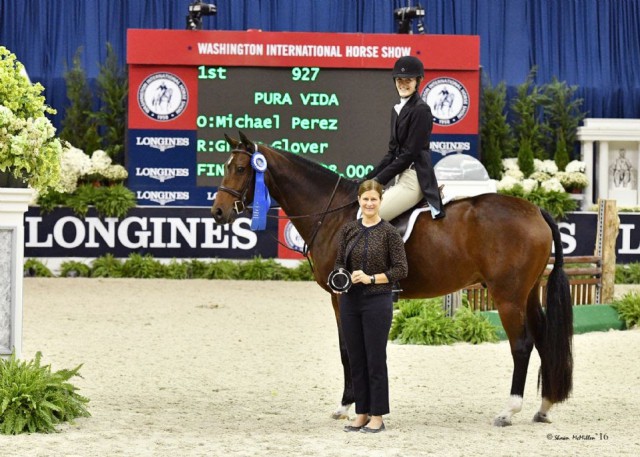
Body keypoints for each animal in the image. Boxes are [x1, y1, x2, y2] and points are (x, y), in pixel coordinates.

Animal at [212, 133, 572, 428]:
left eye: (241, 169)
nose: (218, 212)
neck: (332, 213)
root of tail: (536, 210)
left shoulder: (340, 294)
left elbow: (347, 348)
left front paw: (346, 406)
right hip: (528, 293)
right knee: (543, 339)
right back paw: (544, 407)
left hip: (508, 296)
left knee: (522, 344)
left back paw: (508, 411)